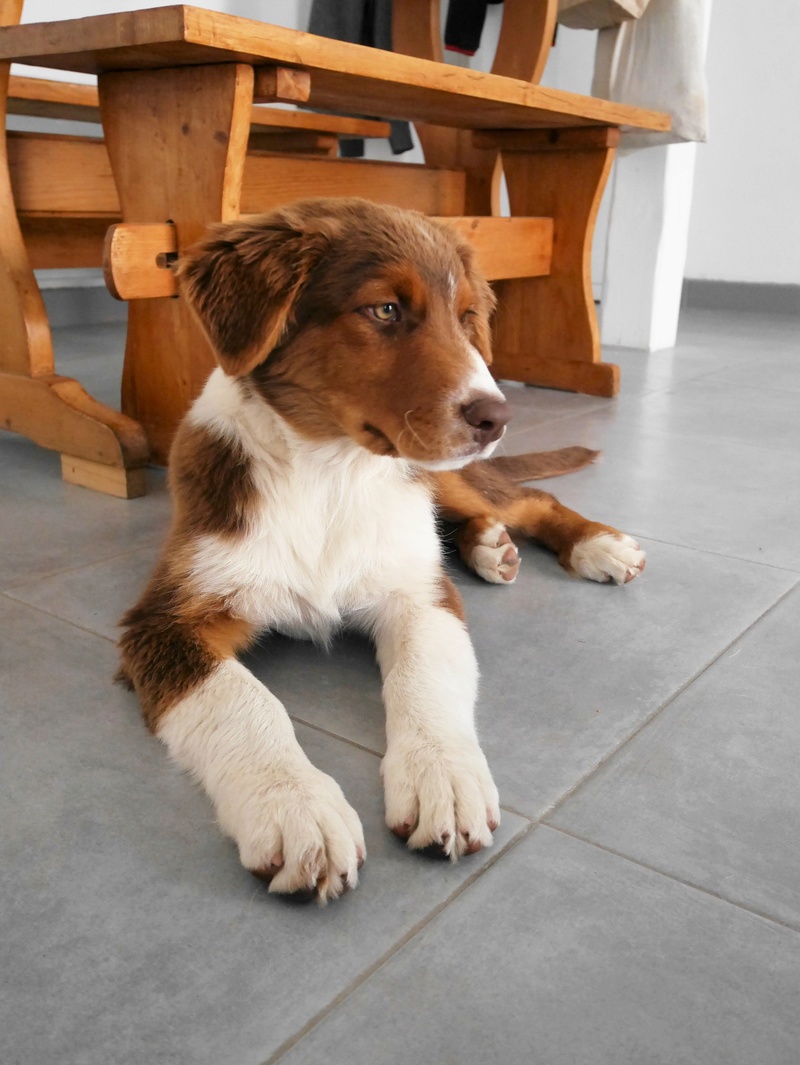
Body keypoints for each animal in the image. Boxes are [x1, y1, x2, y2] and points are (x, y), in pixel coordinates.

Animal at [117, 198, 643, 898]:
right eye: (386, 310)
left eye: (468, 317)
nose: (497, 419)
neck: (327, 473)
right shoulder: (165, 620)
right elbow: (244, 702)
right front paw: (297, 808)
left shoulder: (417, 592)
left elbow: (424, 674)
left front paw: (444, 778)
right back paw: (490, 547)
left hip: (449, 474)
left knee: (527, 499)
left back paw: (595, 544)